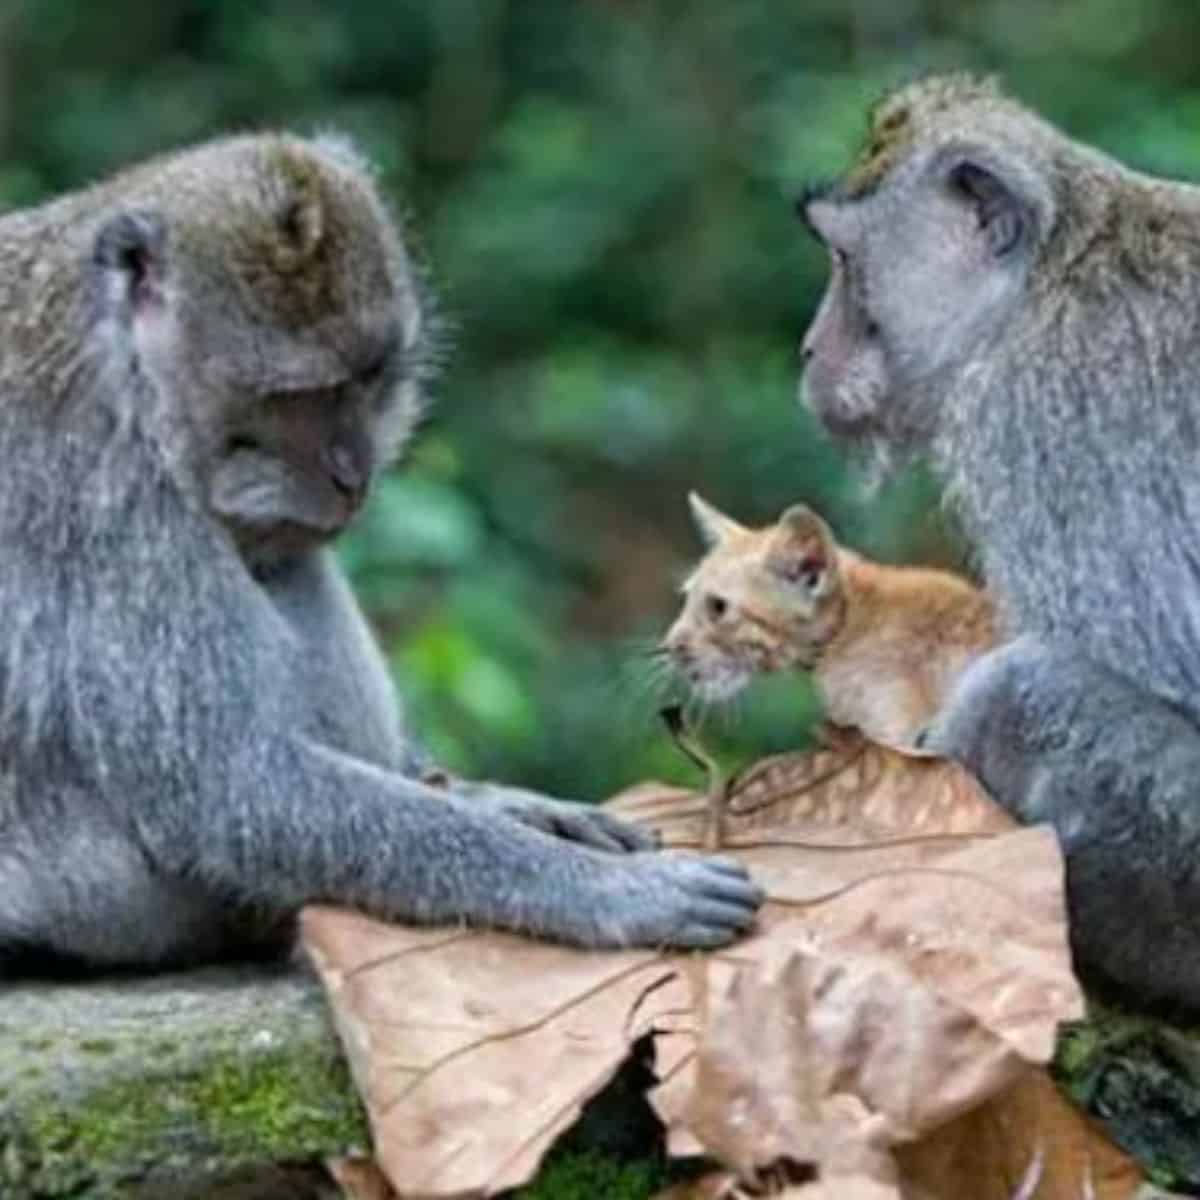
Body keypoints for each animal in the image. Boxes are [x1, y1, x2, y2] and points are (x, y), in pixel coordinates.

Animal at [0, 131, 758, 974]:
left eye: (365, 379)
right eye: (290, 398)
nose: (350, 471)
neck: (125, 366)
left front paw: (496, 801)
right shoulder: (108, 494)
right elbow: (227, 785)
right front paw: (604, 892)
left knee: (287, 563)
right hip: (97, 891)